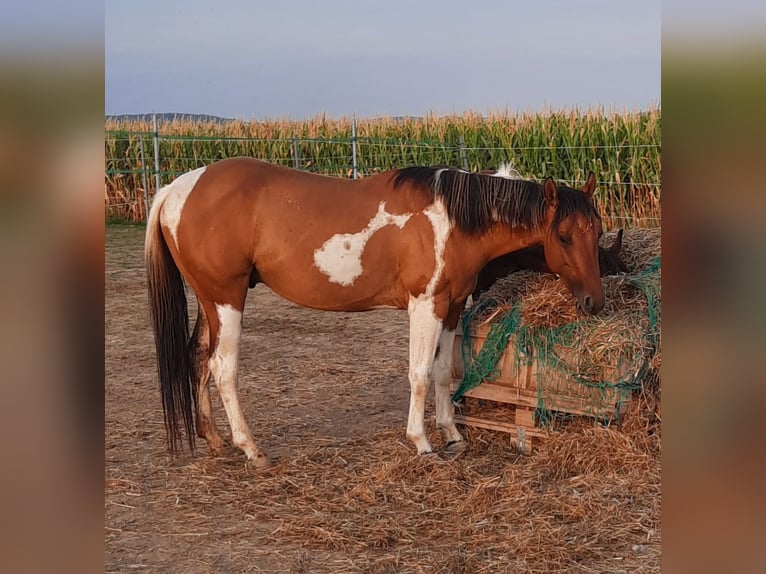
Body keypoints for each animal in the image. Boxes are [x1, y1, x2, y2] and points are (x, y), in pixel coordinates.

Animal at [145, 157, 604, 466]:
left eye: (596, 230)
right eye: (564, 236)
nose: (594, 302)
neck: (453, 219)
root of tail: (177, 189)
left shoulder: (452, 305)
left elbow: (443, 372)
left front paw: (452, 434)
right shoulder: (425, 306)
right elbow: (419, 374)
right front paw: (422, 441)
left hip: (211, 301)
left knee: (198, 359)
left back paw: (214, 440)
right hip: (227, 299)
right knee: (223, 368)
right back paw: (251, 449)